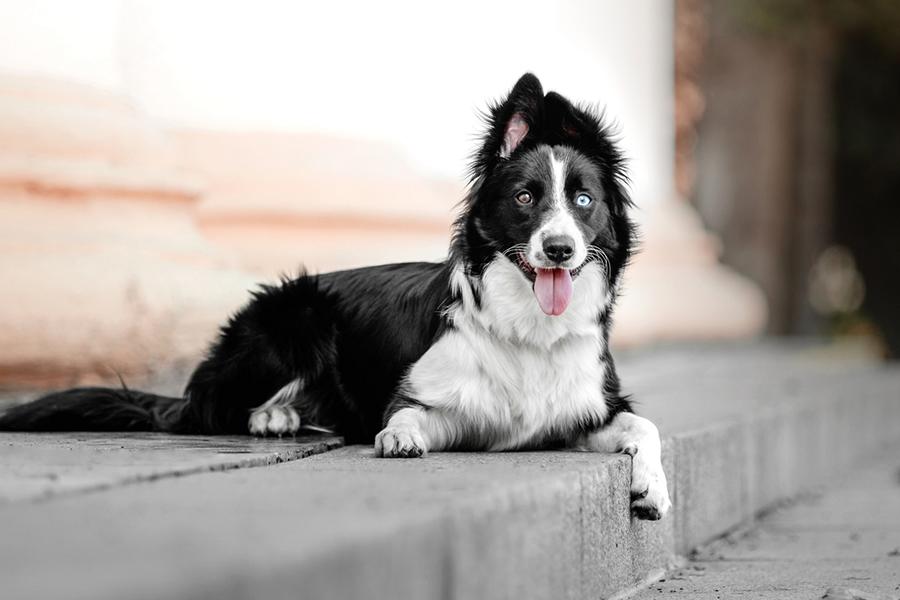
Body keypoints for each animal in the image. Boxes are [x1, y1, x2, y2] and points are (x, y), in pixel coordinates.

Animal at [0, 74, 672, 520]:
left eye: (583, 200)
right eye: (526, 198)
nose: (558, 249)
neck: (528, 328)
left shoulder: (585, 408)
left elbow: (645, 424)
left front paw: (653, 488)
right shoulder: (424, 396)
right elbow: (403, 415)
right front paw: (399, 437)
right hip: (295, 317)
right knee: (205, 407)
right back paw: (271, 415)